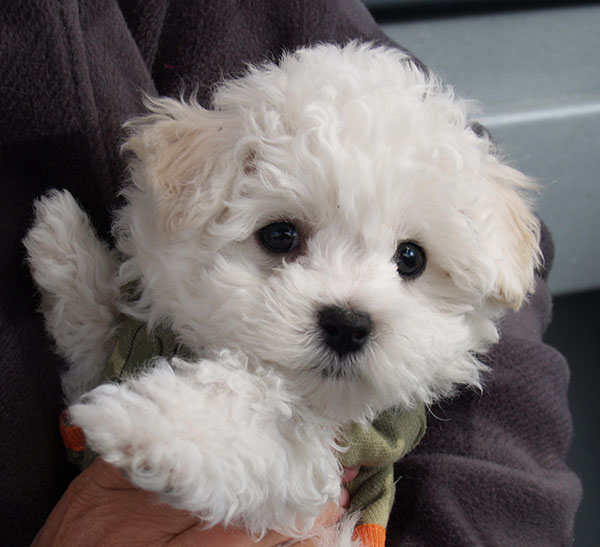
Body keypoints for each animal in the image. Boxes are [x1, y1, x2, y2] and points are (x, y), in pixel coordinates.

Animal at [24, 44, 540, 547]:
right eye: (280, 235)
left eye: (411, 258)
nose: (348, 324)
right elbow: (94, 340)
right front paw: (61, 240)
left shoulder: (325, 458)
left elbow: (247, 403)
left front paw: (150, 426)